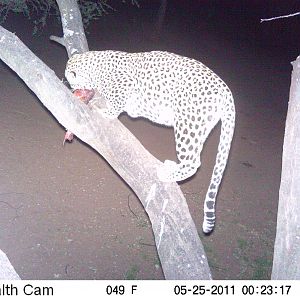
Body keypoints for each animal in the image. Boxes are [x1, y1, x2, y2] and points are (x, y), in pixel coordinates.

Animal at [64, 50, 236, 233]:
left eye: (72, 80)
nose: (73, 89)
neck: (96, 68)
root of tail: (225, 90)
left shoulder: (126, 83)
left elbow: (115, 106)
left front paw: (103, 110)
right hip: (200, 127)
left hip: (187, 124)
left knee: (193, 162)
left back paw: (167, 174)